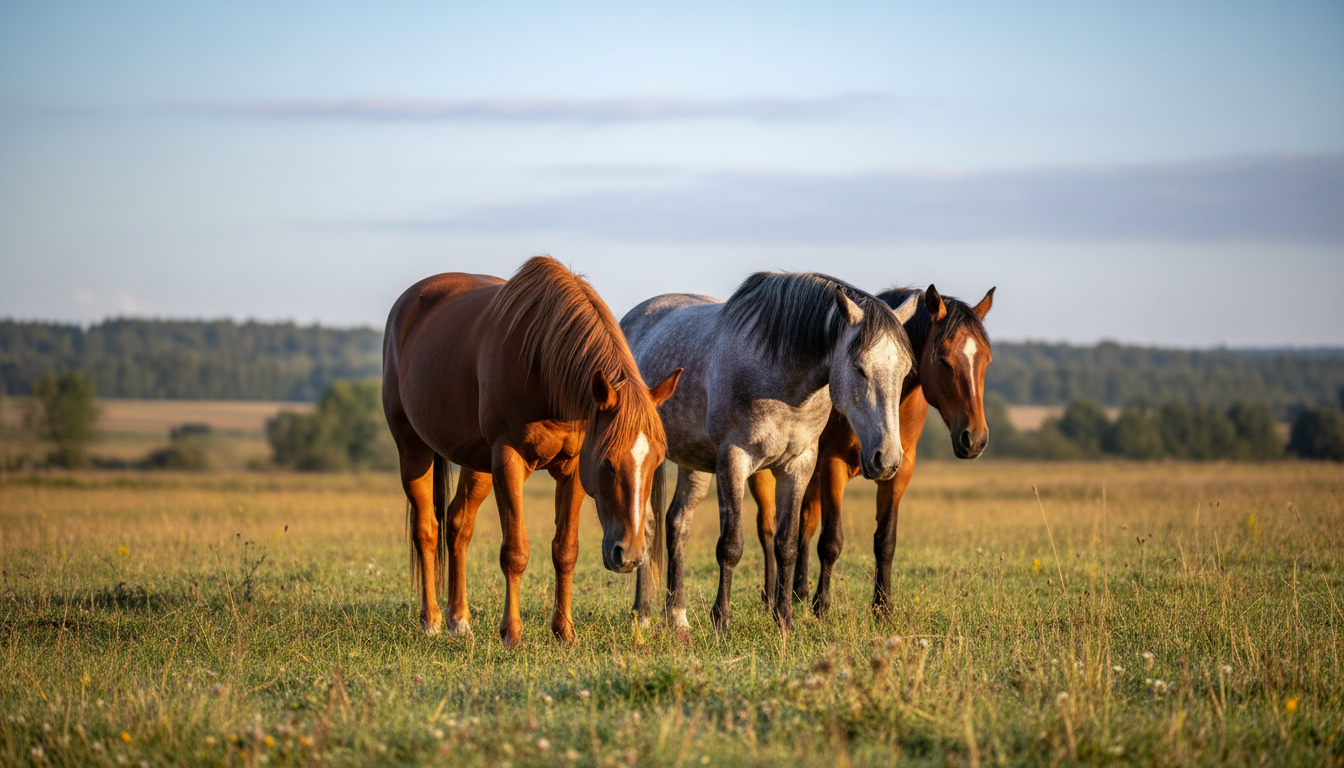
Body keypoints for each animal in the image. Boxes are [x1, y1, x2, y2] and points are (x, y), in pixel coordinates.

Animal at [382, 256, 681, 648]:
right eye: (608, 464)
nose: (629, 556)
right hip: (413, 449)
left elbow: (565, 550)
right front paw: (512, 633)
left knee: (458, 526)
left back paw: (458, 620)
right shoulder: (509, 460)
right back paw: (430, 620)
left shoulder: (572, 470)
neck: (542, 367)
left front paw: (564, 631)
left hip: (478, 464)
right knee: (427, 530)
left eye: (657, 461)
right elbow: (515, 551)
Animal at [621, 272, 919, 633]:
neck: (781, 379)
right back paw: (642, 613)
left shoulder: (798, 465)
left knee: (677, 524)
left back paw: (677, 616)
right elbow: (731, 545)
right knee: (649, 526)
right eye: (860, 368)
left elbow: (786, 544)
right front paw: (721, 621)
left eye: (905, 370)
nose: (887, 459)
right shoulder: (733, 459)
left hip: (695, 463)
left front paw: (785, 620)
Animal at [748, 285, 994, 617]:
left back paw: (797, 592)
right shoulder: (832, 465)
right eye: (943, 360)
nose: (975, 439)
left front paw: (882, 608)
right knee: (769, 529)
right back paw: (772, 596)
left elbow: (885, 541)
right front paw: (821, 606)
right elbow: (831, 541)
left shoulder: (900, 469)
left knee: (804, 526)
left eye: (987, 361)